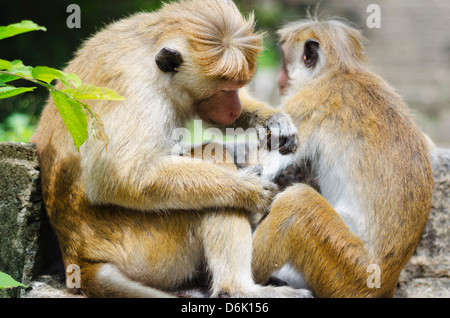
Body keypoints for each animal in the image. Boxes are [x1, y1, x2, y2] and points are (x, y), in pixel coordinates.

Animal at [30, 0, 310, 298]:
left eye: (237, 87)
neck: (148, 58)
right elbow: (119, 177)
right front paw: (246, 189)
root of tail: (79, 257)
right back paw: (239, 289)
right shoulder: (138, 93)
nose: (234, 109)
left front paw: (274, 121)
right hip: (148, 246)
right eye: (224, 90)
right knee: (212, 156)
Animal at [251, 19, 434, 298]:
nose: (280, 79)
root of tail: (385, 285)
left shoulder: (307, 103)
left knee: (297, 203)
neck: (340, 70)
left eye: (284, 62)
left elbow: (263, 168)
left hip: (347, 271)